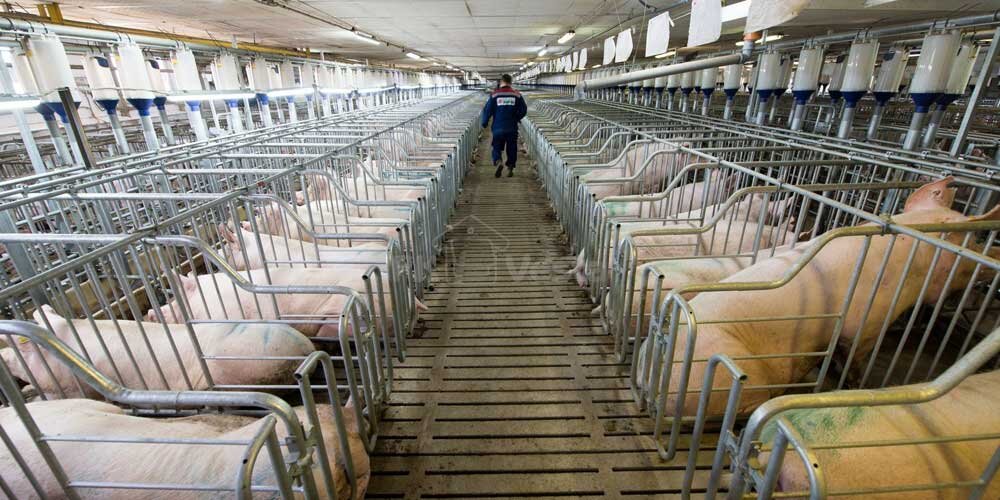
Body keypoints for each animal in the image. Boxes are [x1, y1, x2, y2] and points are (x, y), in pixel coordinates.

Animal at [636, 178, 1000, 418]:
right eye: (974, 242)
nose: (992, 259)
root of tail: (652, 377)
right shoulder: (869, 322)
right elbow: (854, 358)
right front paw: (852, 383)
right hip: (740, 381)